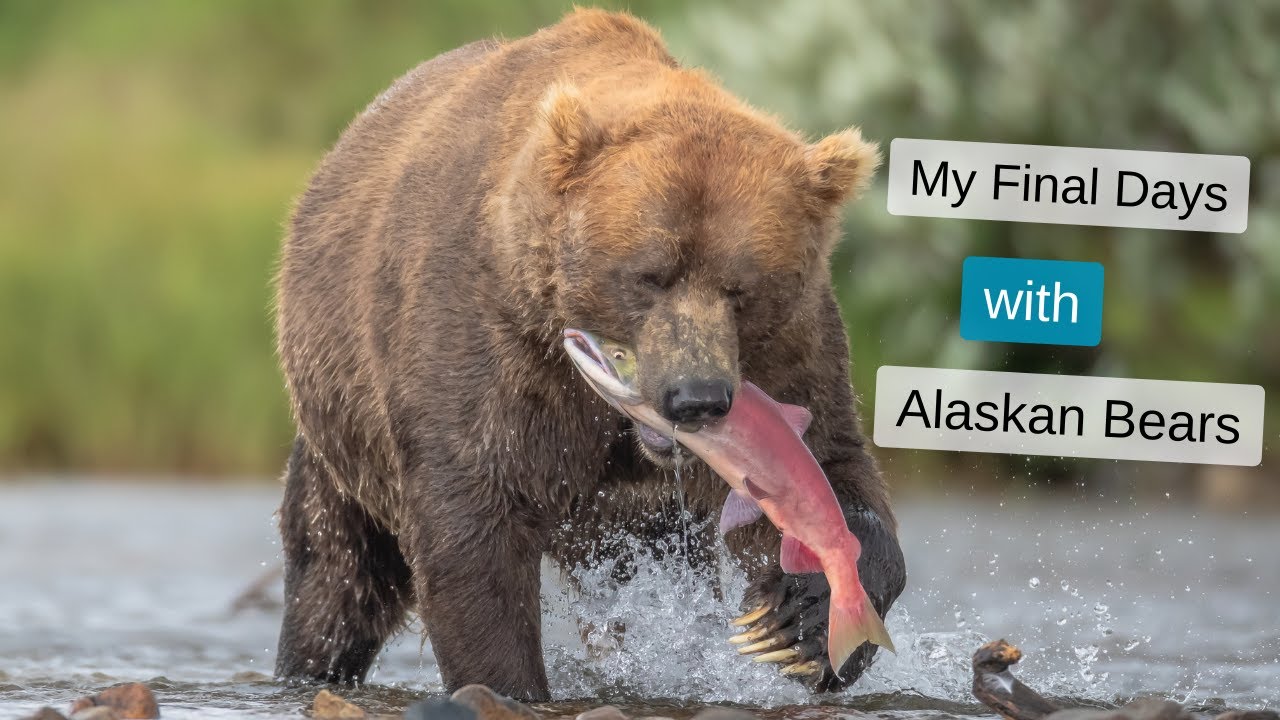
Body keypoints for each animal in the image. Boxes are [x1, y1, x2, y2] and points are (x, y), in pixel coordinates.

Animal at [273, 9, 905, 702]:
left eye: (741, 288)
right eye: (649, 276)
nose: (697, 398)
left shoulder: (789, 355)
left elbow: (831, 464)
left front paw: (799, 617)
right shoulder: (485, 345)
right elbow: (471, 531)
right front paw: (509, 684)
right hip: (345, 426)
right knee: (339, 573)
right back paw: (310, 662)